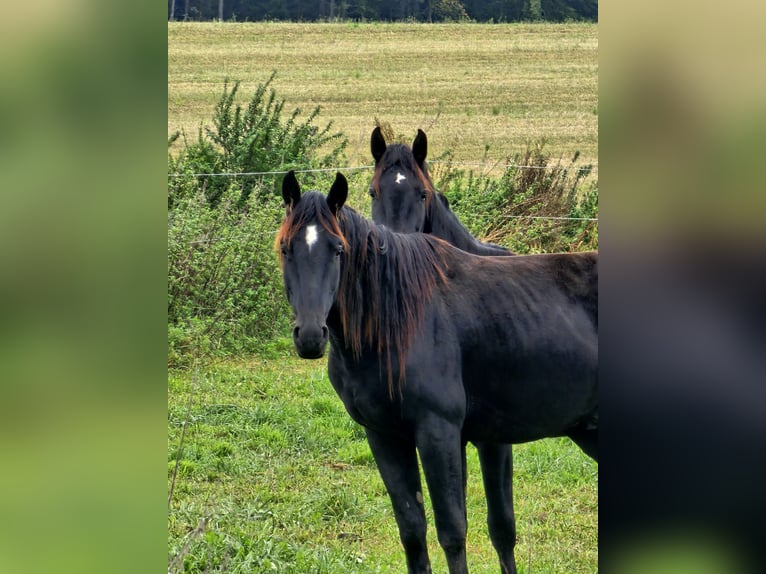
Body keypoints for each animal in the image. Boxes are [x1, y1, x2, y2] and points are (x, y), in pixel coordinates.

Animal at [276, 172, 600, 574]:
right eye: (286, 248)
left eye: (338, 249)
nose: (309, 336)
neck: (395, 322)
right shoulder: (384, 436)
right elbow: (413, 530)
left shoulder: (438, 433)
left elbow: (453, 531)